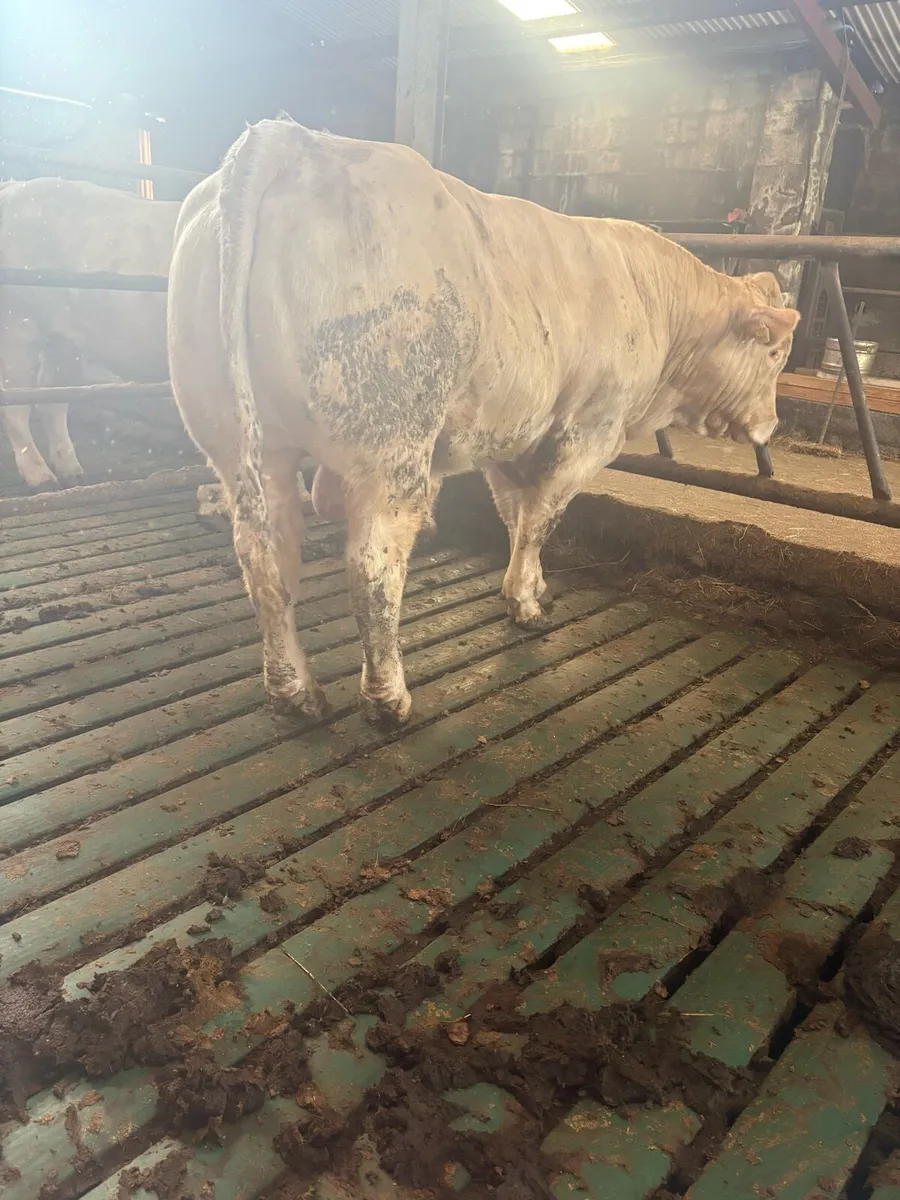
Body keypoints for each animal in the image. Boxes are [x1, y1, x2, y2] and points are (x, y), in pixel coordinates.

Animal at [0, 177, 181, 490]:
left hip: (62, 339)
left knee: (53, 397)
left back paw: (73, 474)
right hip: (16, 324)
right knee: (16, 402)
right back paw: (42, 480)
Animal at [167, 116, 799, 730]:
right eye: (774, 353)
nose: (770, 426)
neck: (657, 307)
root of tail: (292, 138)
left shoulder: (512, 435)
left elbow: (516, 514)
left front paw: (532, 583)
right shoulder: (590, 431)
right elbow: (543, 516)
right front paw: (525, 603)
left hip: (239, 443)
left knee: (266, 558)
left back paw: (295, 692)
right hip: (390, 446)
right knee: (371, 565)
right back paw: (386, 699)